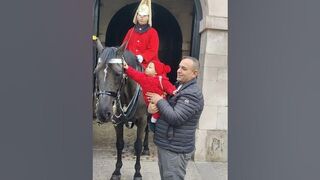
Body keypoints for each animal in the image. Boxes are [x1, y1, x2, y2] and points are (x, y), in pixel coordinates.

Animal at [94, 38, 150, 180]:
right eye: (95, 72)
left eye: (118, 73)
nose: (103, 113)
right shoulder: (116, 122)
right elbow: (119, 144)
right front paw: (117, 171)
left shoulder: (142, 120)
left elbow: (138, 145)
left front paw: (137, 173)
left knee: (148, 130)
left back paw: (146, 148)